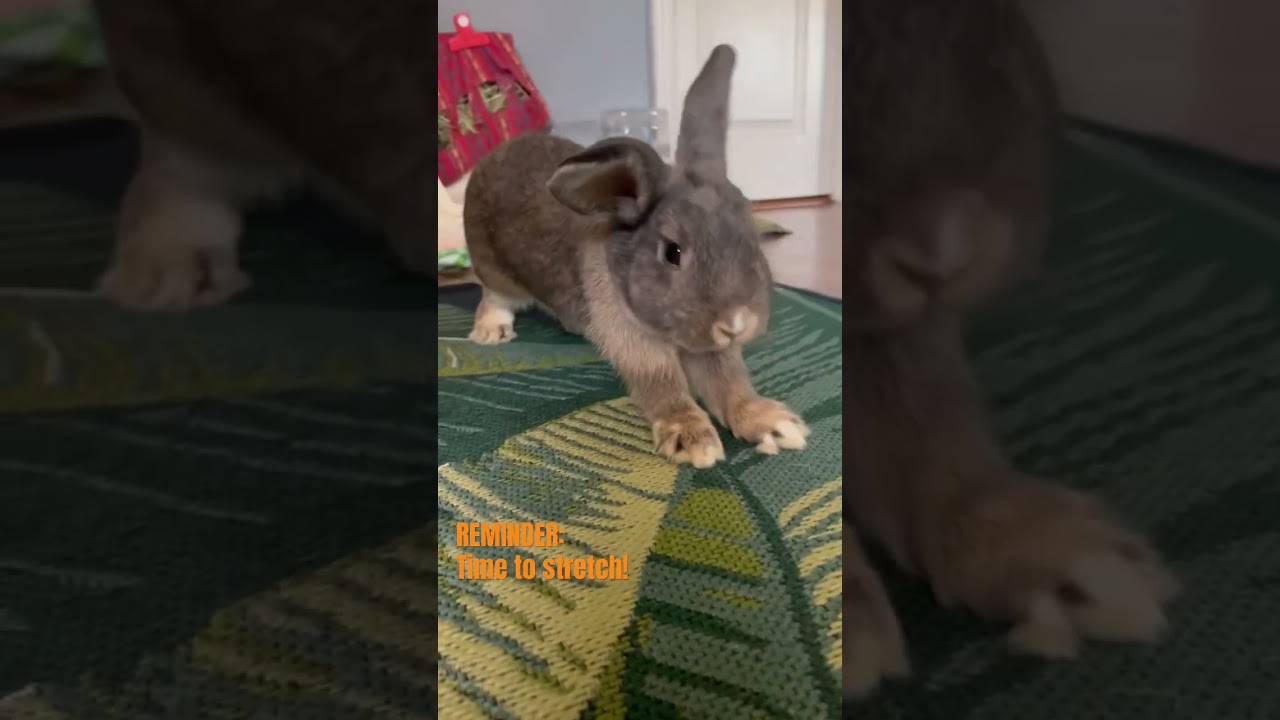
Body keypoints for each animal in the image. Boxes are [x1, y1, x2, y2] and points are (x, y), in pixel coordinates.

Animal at [462, 45, 810, 469]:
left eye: (750, 230)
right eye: (672, 252)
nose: (737, 323)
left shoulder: (710, 350)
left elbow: (729, 383)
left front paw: (773, 423)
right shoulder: (632, 338)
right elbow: (661, 383)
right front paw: (691, 438)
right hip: (492, 266)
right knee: (493, 297)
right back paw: (490, 332)